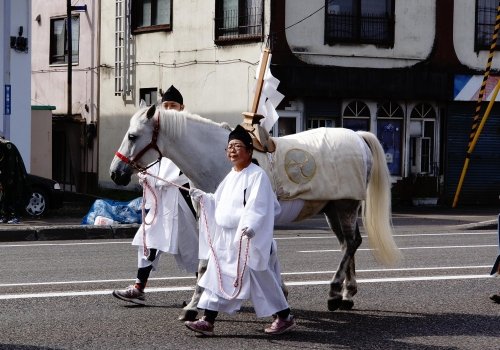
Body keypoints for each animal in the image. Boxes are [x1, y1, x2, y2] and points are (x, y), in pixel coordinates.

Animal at [110, 106, 402, 320]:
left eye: (133, 136)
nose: (115, 173)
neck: (218, 159)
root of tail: (358, 137)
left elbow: (212, 262)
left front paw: (195, 306)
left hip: (345, 205)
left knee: (351, 243)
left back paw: (334, 293)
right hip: (332, 208)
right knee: (347, 244)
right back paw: (347, 295)